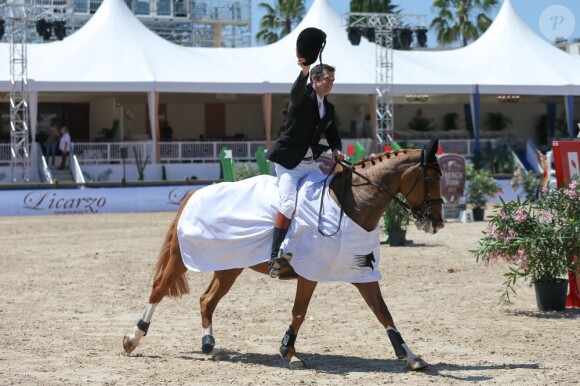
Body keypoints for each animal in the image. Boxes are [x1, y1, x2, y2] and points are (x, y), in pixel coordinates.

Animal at [123, 139, 444, 370]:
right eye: (432, 178)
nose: (437, 223)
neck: (350, 204)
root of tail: (195, 193)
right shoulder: (310, 271)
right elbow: (299, 312)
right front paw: (288, 352)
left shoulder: (362, 270)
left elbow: (383, 312)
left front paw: (411, 356)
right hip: (182, 258)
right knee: (158, 289)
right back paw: (133, 339)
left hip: (230, 265)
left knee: (207, 299)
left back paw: (210, 345)